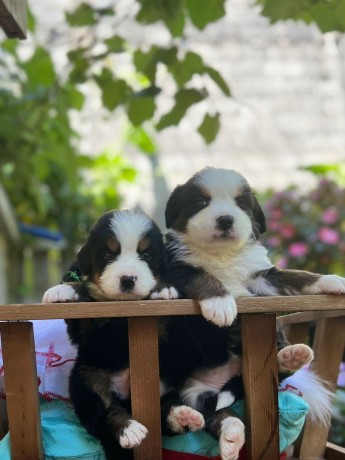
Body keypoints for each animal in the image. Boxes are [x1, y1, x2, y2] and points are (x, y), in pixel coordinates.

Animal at [42, 210, 183, 460]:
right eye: (108, 254)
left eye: (147, 254)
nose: (128, 279)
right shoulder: (83, 329)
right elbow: (85, 291)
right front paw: (64, 289)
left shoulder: (164, 327)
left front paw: (164, 288)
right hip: (86, 381)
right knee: (106, 413)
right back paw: (129, 429)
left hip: (165, 378)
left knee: (165, 409)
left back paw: (182, 416)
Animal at [162, 168, 342, 460]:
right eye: (201, 202)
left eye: (240, 203)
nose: (225, 219)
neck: (221, 255)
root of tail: (225, 380)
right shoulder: (178, 268)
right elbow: (201, 275)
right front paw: (221, 303)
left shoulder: (261, 276)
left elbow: (295, 275)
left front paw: (331, 280)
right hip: (194, 391)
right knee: (214, 414)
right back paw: (225, 433)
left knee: (277, 374)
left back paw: (291, 356)